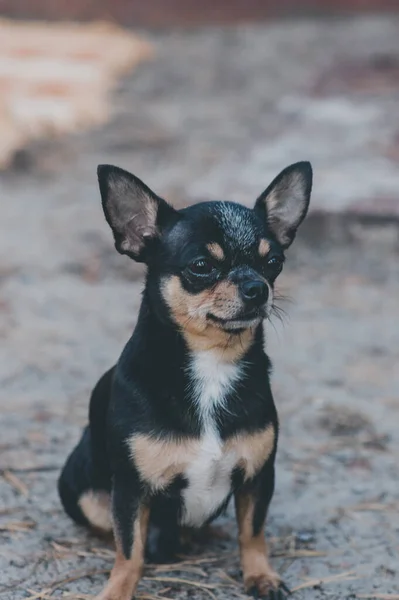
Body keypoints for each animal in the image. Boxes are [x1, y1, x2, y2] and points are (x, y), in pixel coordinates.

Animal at [59, 161, 314, 600]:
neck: (213, 363)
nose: (257, 287)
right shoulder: (130, 490)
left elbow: (253, 533)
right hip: (82, 490)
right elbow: (130, 551)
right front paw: (117, 590)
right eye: (201, 266)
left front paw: (260, 575)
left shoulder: (258, 478)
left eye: (274, 263)